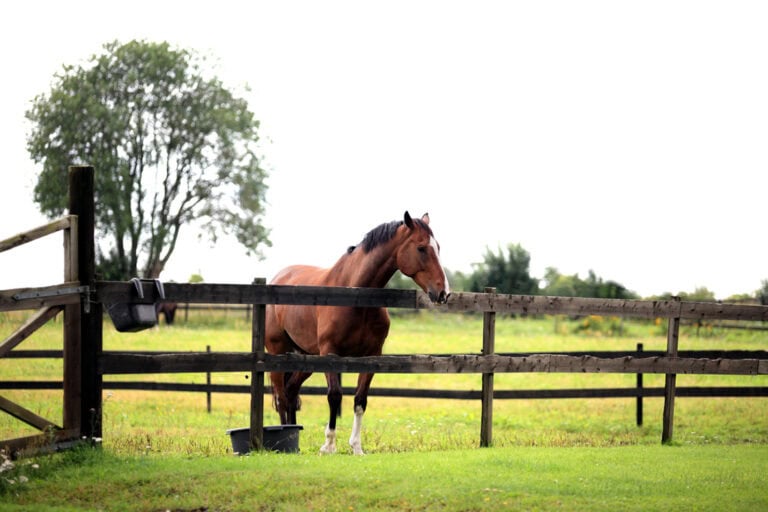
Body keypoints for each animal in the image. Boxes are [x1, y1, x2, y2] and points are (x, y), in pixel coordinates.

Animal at [265, 211, 450, 454]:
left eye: (438, 247)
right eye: (421, 248)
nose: (443, 292)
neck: (356, 296)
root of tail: (278, 278)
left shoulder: (371, 356)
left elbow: (360, 400)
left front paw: (356, 447)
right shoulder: (330, 354)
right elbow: (334, 396)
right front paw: (329, 445)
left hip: (307, 357)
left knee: (292, 390)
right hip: (278, 352)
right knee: (281, 398)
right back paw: (282, 442)